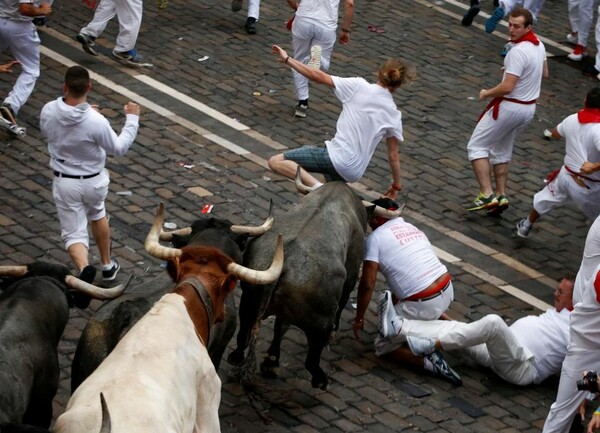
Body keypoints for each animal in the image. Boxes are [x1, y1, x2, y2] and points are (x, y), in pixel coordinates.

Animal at [230, 181, 370, 390]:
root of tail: (284, 260)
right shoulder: (351, 274)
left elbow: (279, 327)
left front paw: (271, 360)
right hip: (321, 322)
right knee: (312, 357)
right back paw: (319, 379)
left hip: (249, 299)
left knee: (244, 334)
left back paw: (251, 358)